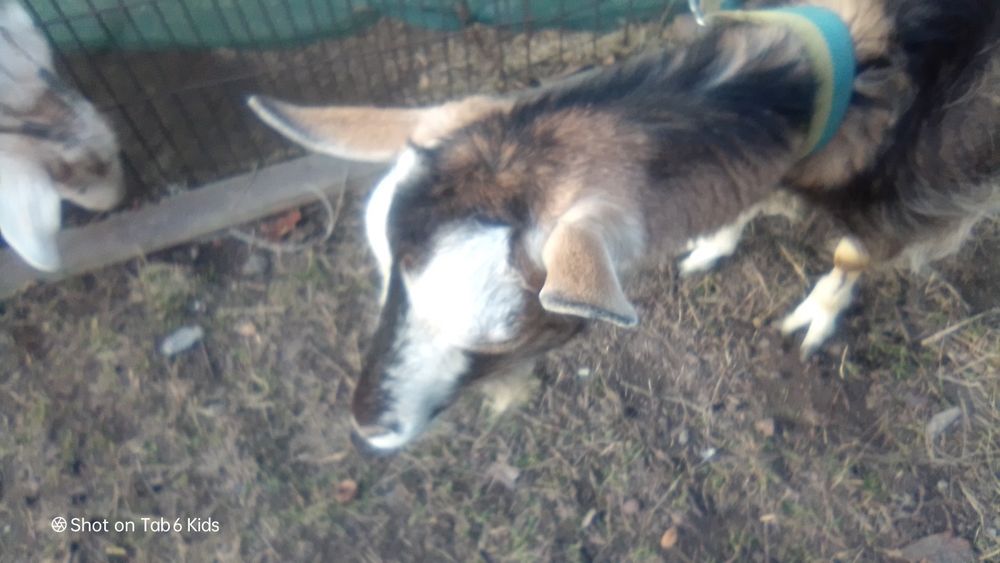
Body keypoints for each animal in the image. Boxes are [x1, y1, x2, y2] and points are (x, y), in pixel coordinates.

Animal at [249, 0, 1000, 452]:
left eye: (504, 332)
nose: (365, 428)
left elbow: (854, 254)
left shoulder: (915, 185)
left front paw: (813, 318)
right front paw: (715, 241)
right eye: (382, 273)